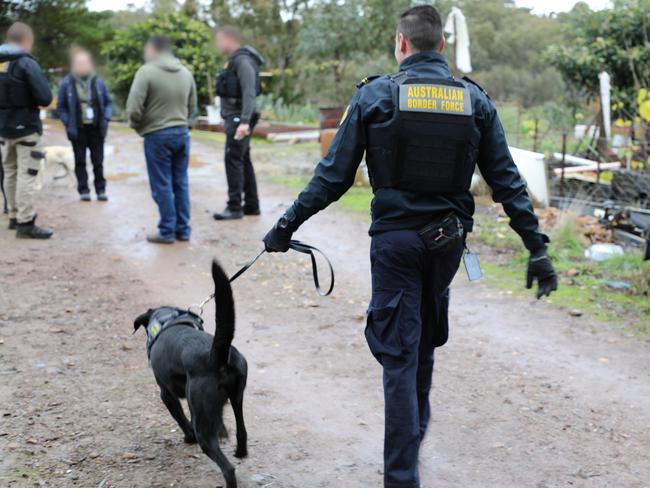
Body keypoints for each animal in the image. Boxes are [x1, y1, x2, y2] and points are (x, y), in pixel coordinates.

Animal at [134, 262, 248, 486]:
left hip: (202, 421)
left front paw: (189, 438)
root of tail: (215, 355)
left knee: (228, 468)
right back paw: (239, 450)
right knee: (242, 432)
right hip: (237, 397)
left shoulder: (166, 395)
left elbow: (180, 418)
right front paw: (222, 432)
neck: (168, 321)